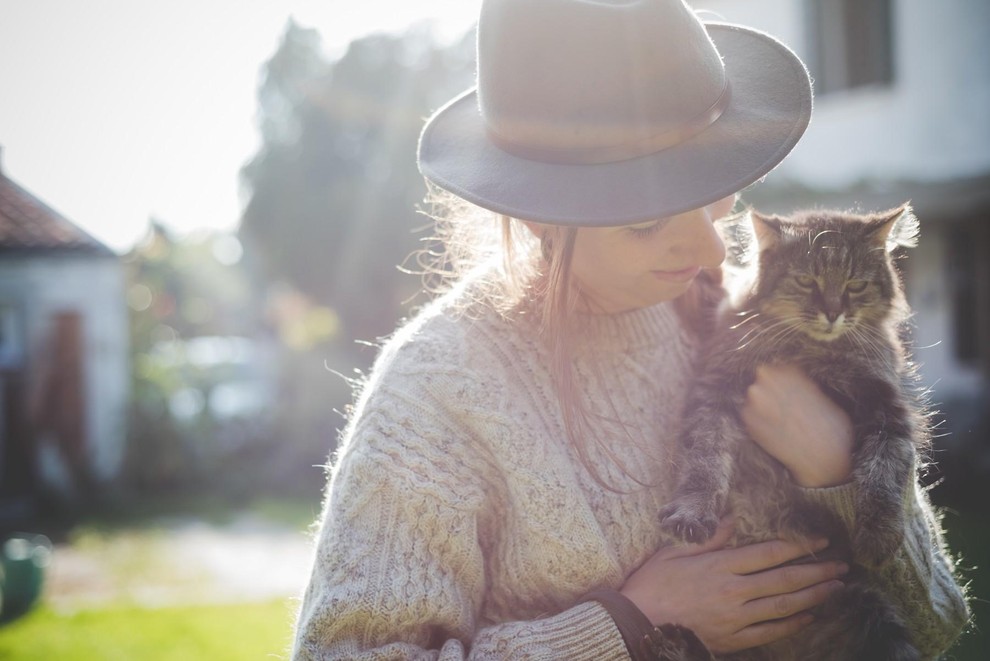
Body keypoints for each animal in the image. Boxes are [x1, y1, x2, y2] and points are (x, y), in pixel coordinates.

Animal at [660, 206, 928, 660]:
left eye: (855, 285)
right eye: (807, 281)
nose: (833, 312)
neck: (808, 349)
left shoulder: (887, 409)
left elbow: (884, 471)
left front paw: (878, 536)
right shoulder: (714, 390)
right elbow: (704, 460)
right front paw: (693, 514)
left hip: (872, 614)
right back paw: (671, 642)